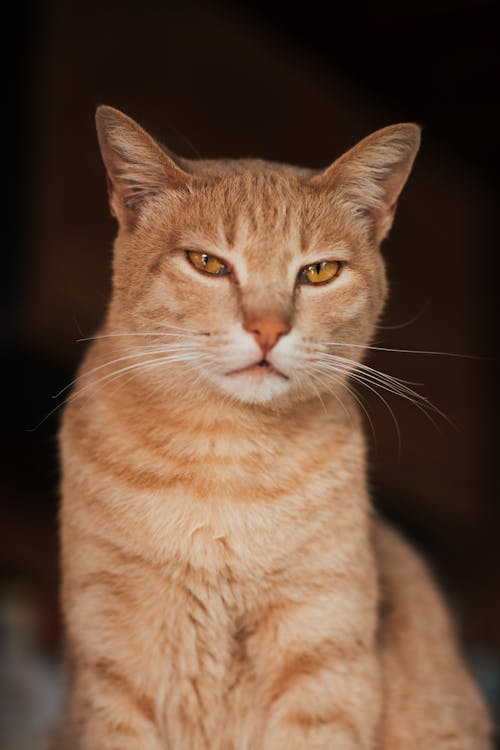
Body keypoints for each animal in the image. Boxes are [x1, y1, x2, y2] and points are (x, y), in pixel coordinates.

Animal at [51, 107, 492, 750]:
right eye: (208, 263)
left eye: (320, 271)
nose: (266, 329)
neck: (224, 463)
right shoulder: (112, 666)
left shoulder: (323, 666)